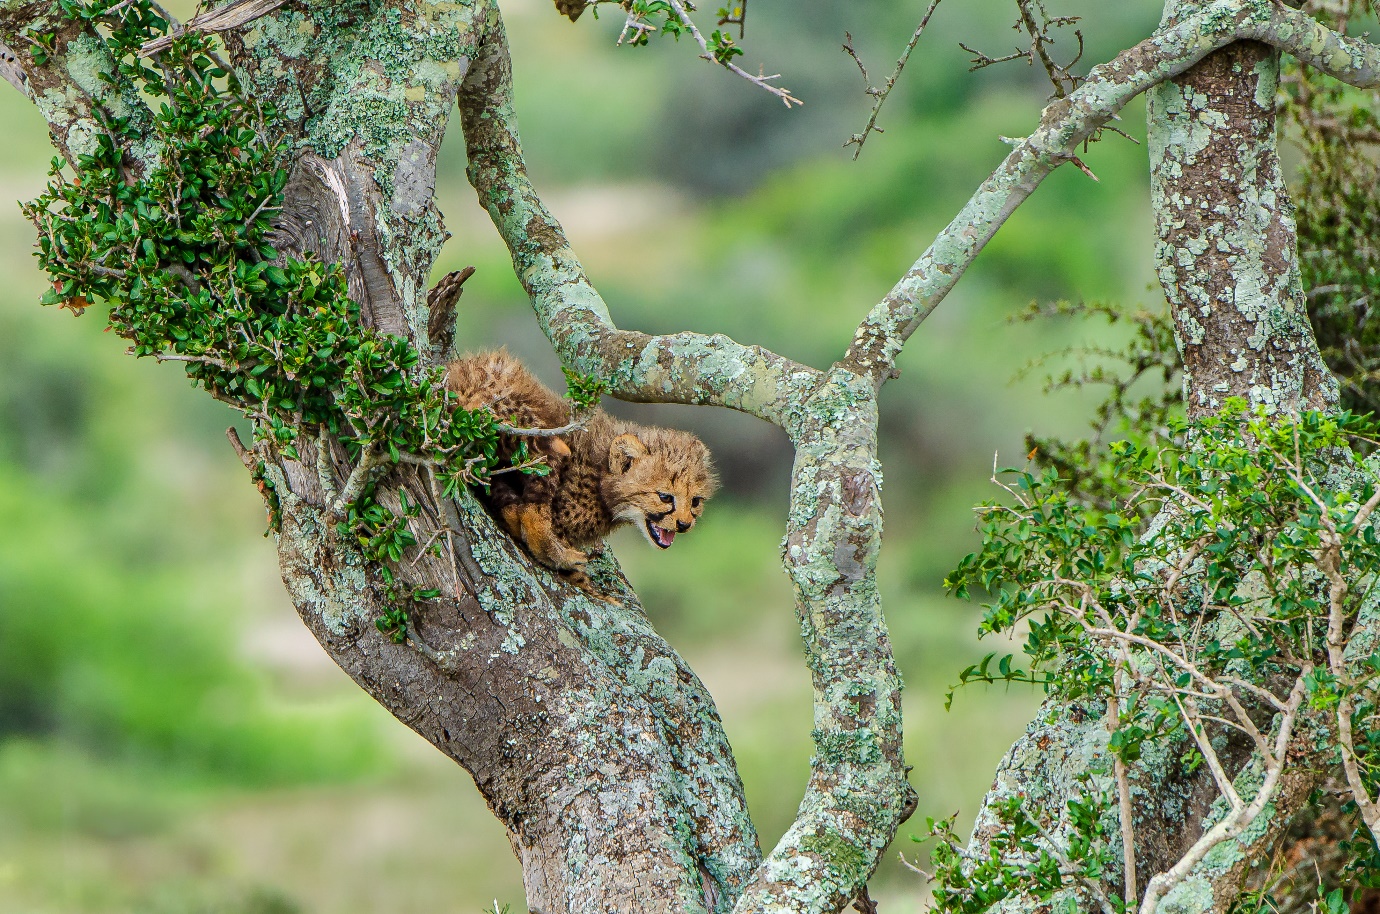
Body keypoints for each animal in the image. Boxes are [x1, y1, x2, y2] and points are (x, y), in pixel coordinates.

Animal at [446, 349, 717, 590]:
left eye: (695, 501)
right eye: (664, 497)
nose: (684, 524)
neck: (602, 478)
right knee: (534, 508)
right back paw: (557, 554)